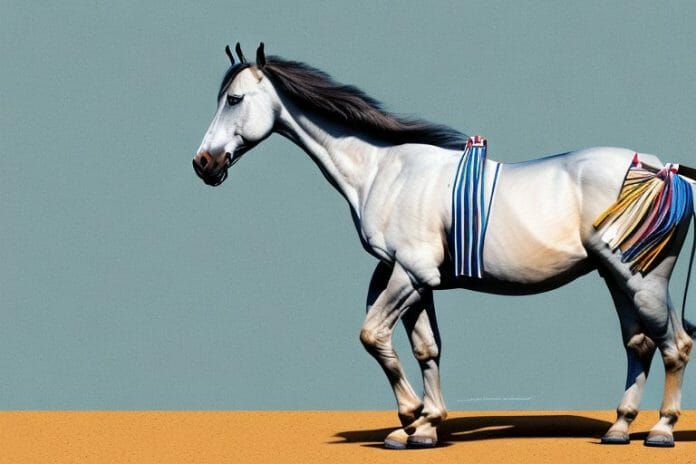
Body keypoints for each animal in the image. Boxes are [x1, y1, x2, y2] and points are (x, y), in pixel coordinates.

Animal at [192, 43, 696, 449]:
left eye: (234, 99)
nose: (203, 163)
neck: (384, 171)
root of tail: (666, 170)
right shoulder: (417, 281)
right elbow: (424, 350)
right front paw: (423, 428)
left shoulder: (410, 273)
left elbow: (373, 335)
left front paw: (411, 418)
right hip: (617, 277)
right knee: (640, 343)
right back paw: (619, 428)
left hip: (642, 280)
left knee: (674, 345)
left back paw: (661, 431)